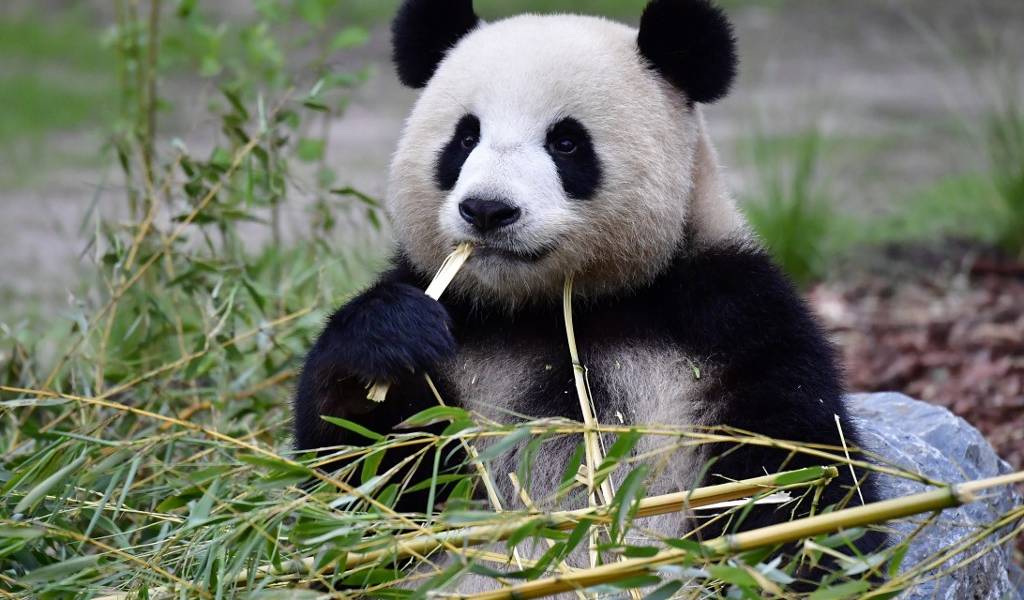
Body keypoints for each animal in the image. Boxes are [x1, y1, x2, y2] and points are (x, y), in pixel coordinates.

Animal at [294, 0, 884, 578]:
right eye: (464, 138)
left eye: (566, 142)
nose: (487, 209)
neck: (557, 305)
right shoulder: (458, 324)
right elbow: (365, 488)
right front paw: (387, 339)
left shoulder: (731, 317)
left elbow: (795, 476)